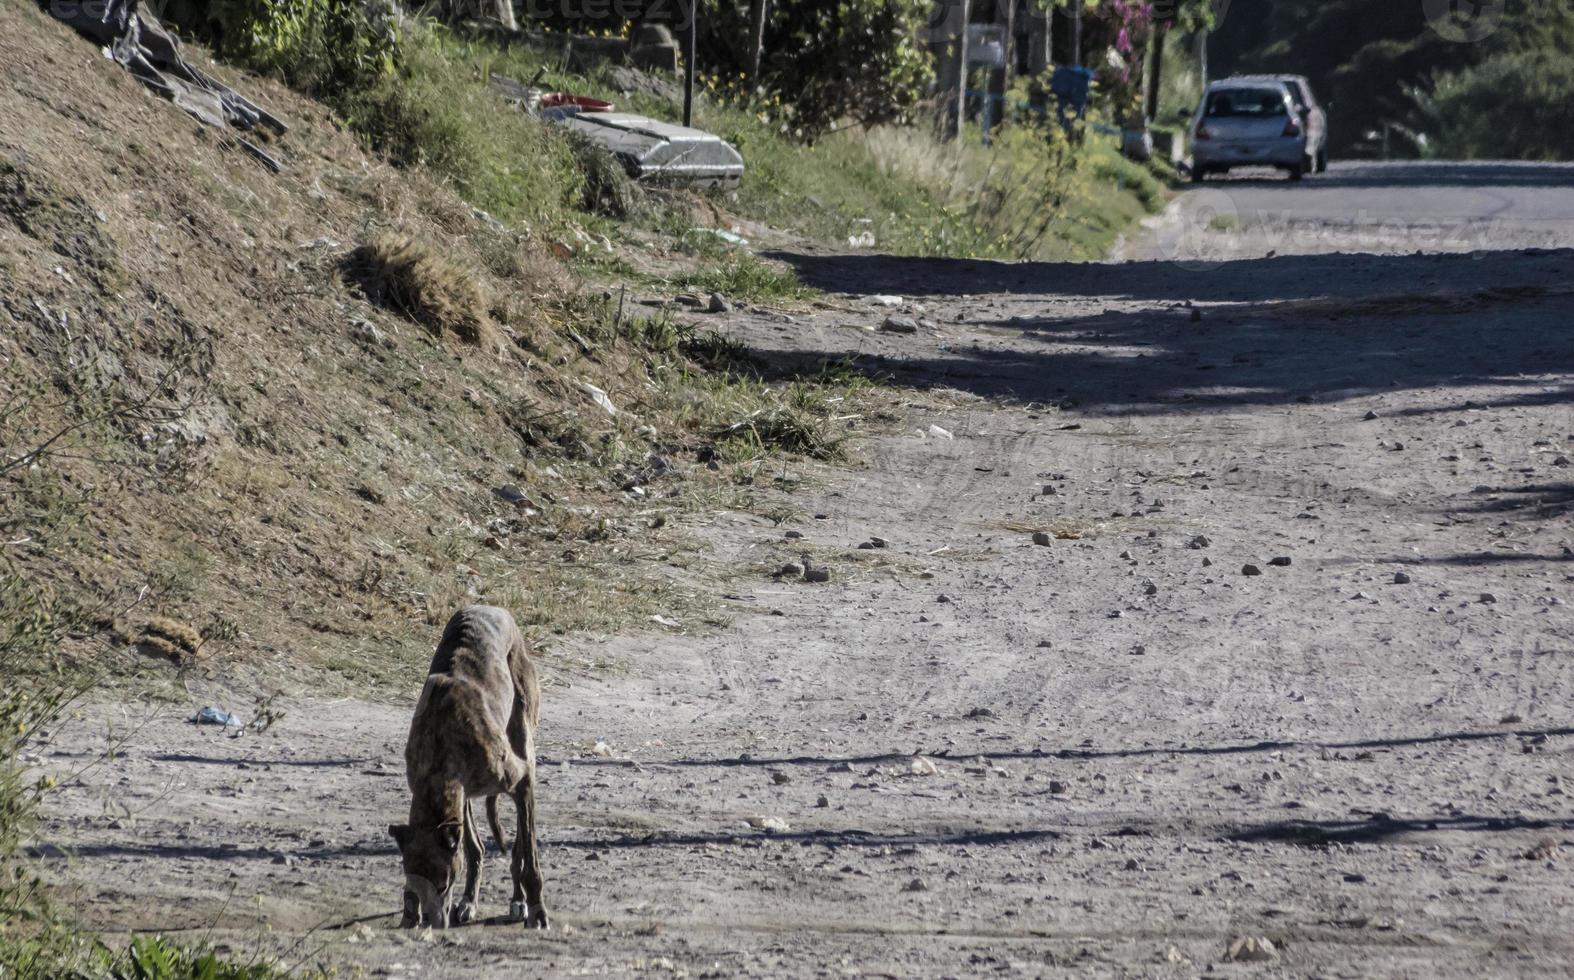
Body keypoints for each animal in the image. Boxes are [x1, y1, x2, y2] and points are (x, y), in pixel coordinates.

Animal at [387, 600, 547, 931]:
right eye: (414, 882)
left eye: (444, 883)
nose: (434, 924)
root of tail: (493, 607)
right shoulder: (458, 795)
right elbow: (473, 848)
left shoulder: (521, 779)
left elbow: (529, 857)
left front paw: (537, 909)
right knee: (480, 845)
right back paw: (473, 901)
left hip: (523, 729)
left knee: (520, 846)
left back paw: (519, 900)